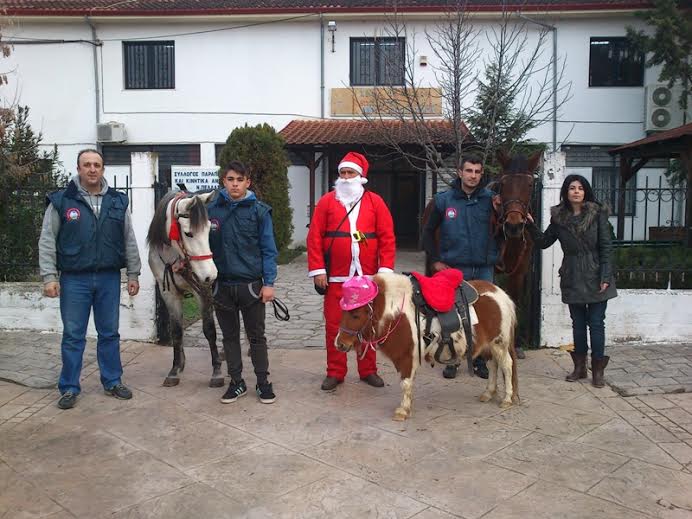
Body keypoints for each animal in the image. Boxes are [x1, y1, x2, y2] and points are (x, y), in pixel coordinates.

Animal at [146, 190, 224, 386]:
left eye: (209, 229)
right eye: (188, 234)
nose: (211, 275)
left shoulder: (203, 290)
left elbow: (209, 329)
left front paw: (217, 371)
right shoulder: (168, 294)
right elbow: (176, 330)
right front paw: (176, 368)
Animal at [336, 274, 520, 420]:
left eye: (355, 315)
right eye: (343, 312)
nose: (340, 344)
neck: (395, 313)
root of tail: (501, 294)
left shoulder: (407, 356)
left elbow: (405, 383)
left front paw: (402, 411)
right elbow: (408, 383)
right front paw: (408, 406)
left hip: (499, 344)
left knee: (506, 365)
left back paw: (507, 398)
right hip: (489, 345)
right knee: (493, 365)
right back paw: (488, 393)